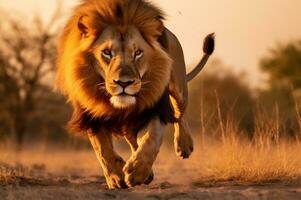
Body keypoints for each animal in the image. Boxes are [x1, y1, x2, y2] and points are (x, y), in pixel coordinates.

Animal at [54, 0, 213, 189]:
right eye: (107, 52)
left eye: (138, 53)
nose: (124, 83)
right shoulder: (91, 114)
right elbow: (103, 149)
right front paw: (117, 177)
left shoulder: (155, 106)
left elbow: (151, 138)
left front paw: (137, 171)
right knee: (132, 138)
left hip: (179, 88)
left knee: (179, 113)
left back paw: (184, 145)